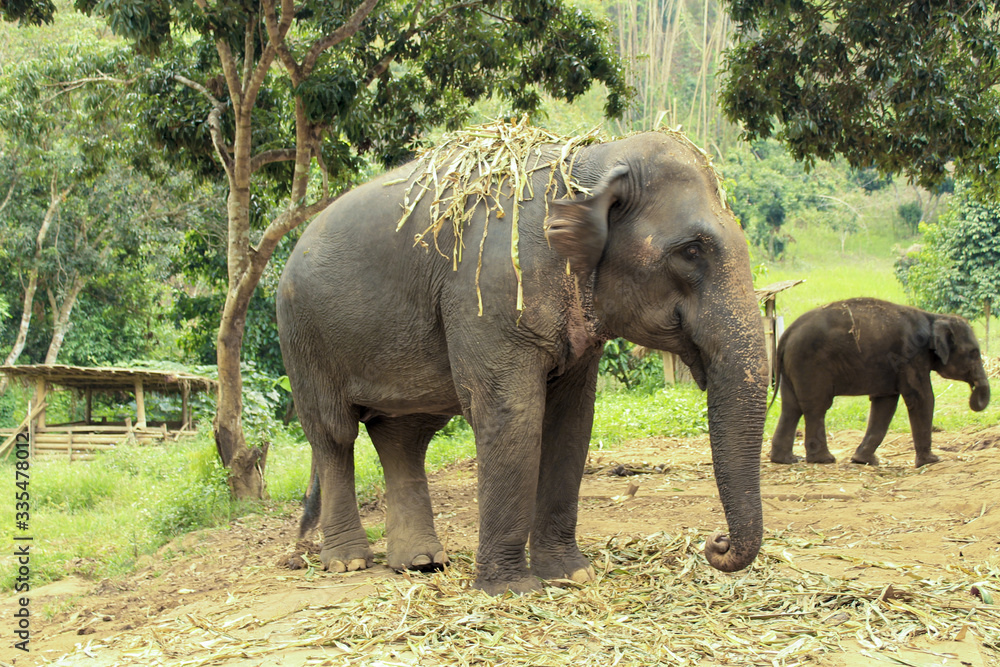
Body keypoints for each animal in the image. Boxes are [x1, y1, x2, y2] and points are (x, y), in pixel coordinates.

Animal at [277, 125, 769, 595]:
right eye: (691, 251)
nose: (715, 542)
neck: (591, 161)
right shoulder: (489, 291)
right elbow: (511, 413)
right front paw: (512, 589)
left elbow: (571, 421)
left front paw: (571, 576)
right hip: (303, 338)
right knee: (333, 433)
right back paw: (348, 562)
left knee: (404, 436)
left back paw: (421, 563)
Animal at [770, 298, 991, 468]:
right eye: (974, 353)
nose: (974, 393)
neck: (933, 317)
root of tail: (787, 334)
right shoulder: (912, 356)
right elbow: (922, 398)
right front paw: (931, 461)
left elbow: (885, 403)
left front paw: (864, 461)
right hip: (810, 365)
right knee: (816, 407)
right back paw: (823, 460)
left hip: (794, 366)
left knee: (791, 407)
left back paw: (786, 460)